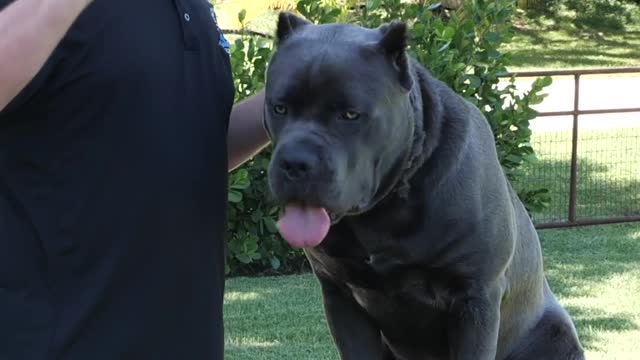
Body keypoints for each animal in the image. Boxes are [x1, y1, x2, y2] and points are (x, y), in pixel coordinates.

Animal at [262, 11, 584, 360]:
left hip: (556, 334)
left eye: (349, 114)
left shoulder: (476, 299)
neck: (386, 207)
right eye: (279, 107)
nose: (295, 162)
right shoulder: (340, 296)